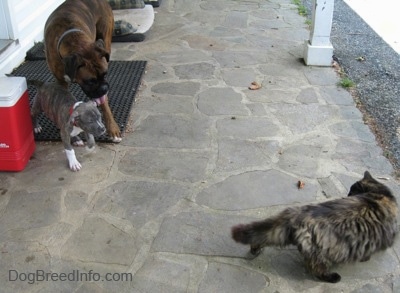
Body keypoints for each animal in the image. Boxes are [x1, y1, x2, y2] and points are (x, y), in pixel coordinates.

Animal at [44, 0, 121, 142]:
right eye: (90, 81)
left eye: (105, 74)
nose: (104, 88)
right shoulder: (61, 81)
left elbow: (105, 104)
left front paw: (112, 128)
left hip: (105, 38)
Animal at [231, 170, 396, 282]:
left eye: (351, 190)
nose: (348, 195)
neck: (379, 194)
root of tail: (297, 214)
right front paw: (365, 258)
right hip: (322, 253)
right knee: (316, 269)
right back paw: (333, 277)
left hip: (279, 234)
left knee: (261, 238)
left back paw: (255, 249)